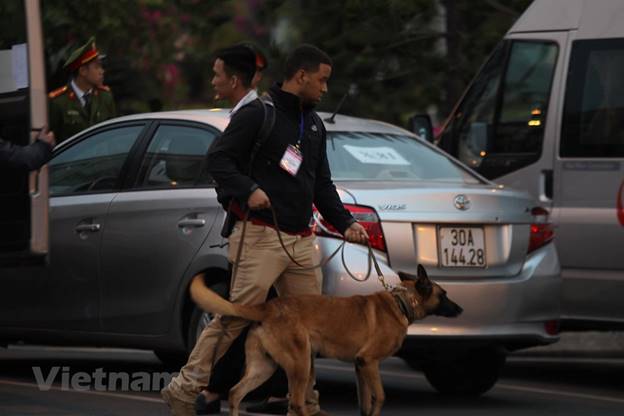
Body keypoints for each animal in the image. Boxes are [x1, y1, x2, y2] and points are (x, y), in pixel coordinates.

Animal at [190, 264, 464, 414]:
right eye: (444, 294)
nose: (461, 310)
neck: (402, 302)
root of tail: (268, 307)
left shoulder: (360, 366)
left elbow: (365, 404)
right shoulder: (370, 362)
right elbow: (380, 397)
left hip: (264, 366)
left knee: (236, 393)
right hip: (300, 364)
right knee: (296, 403)